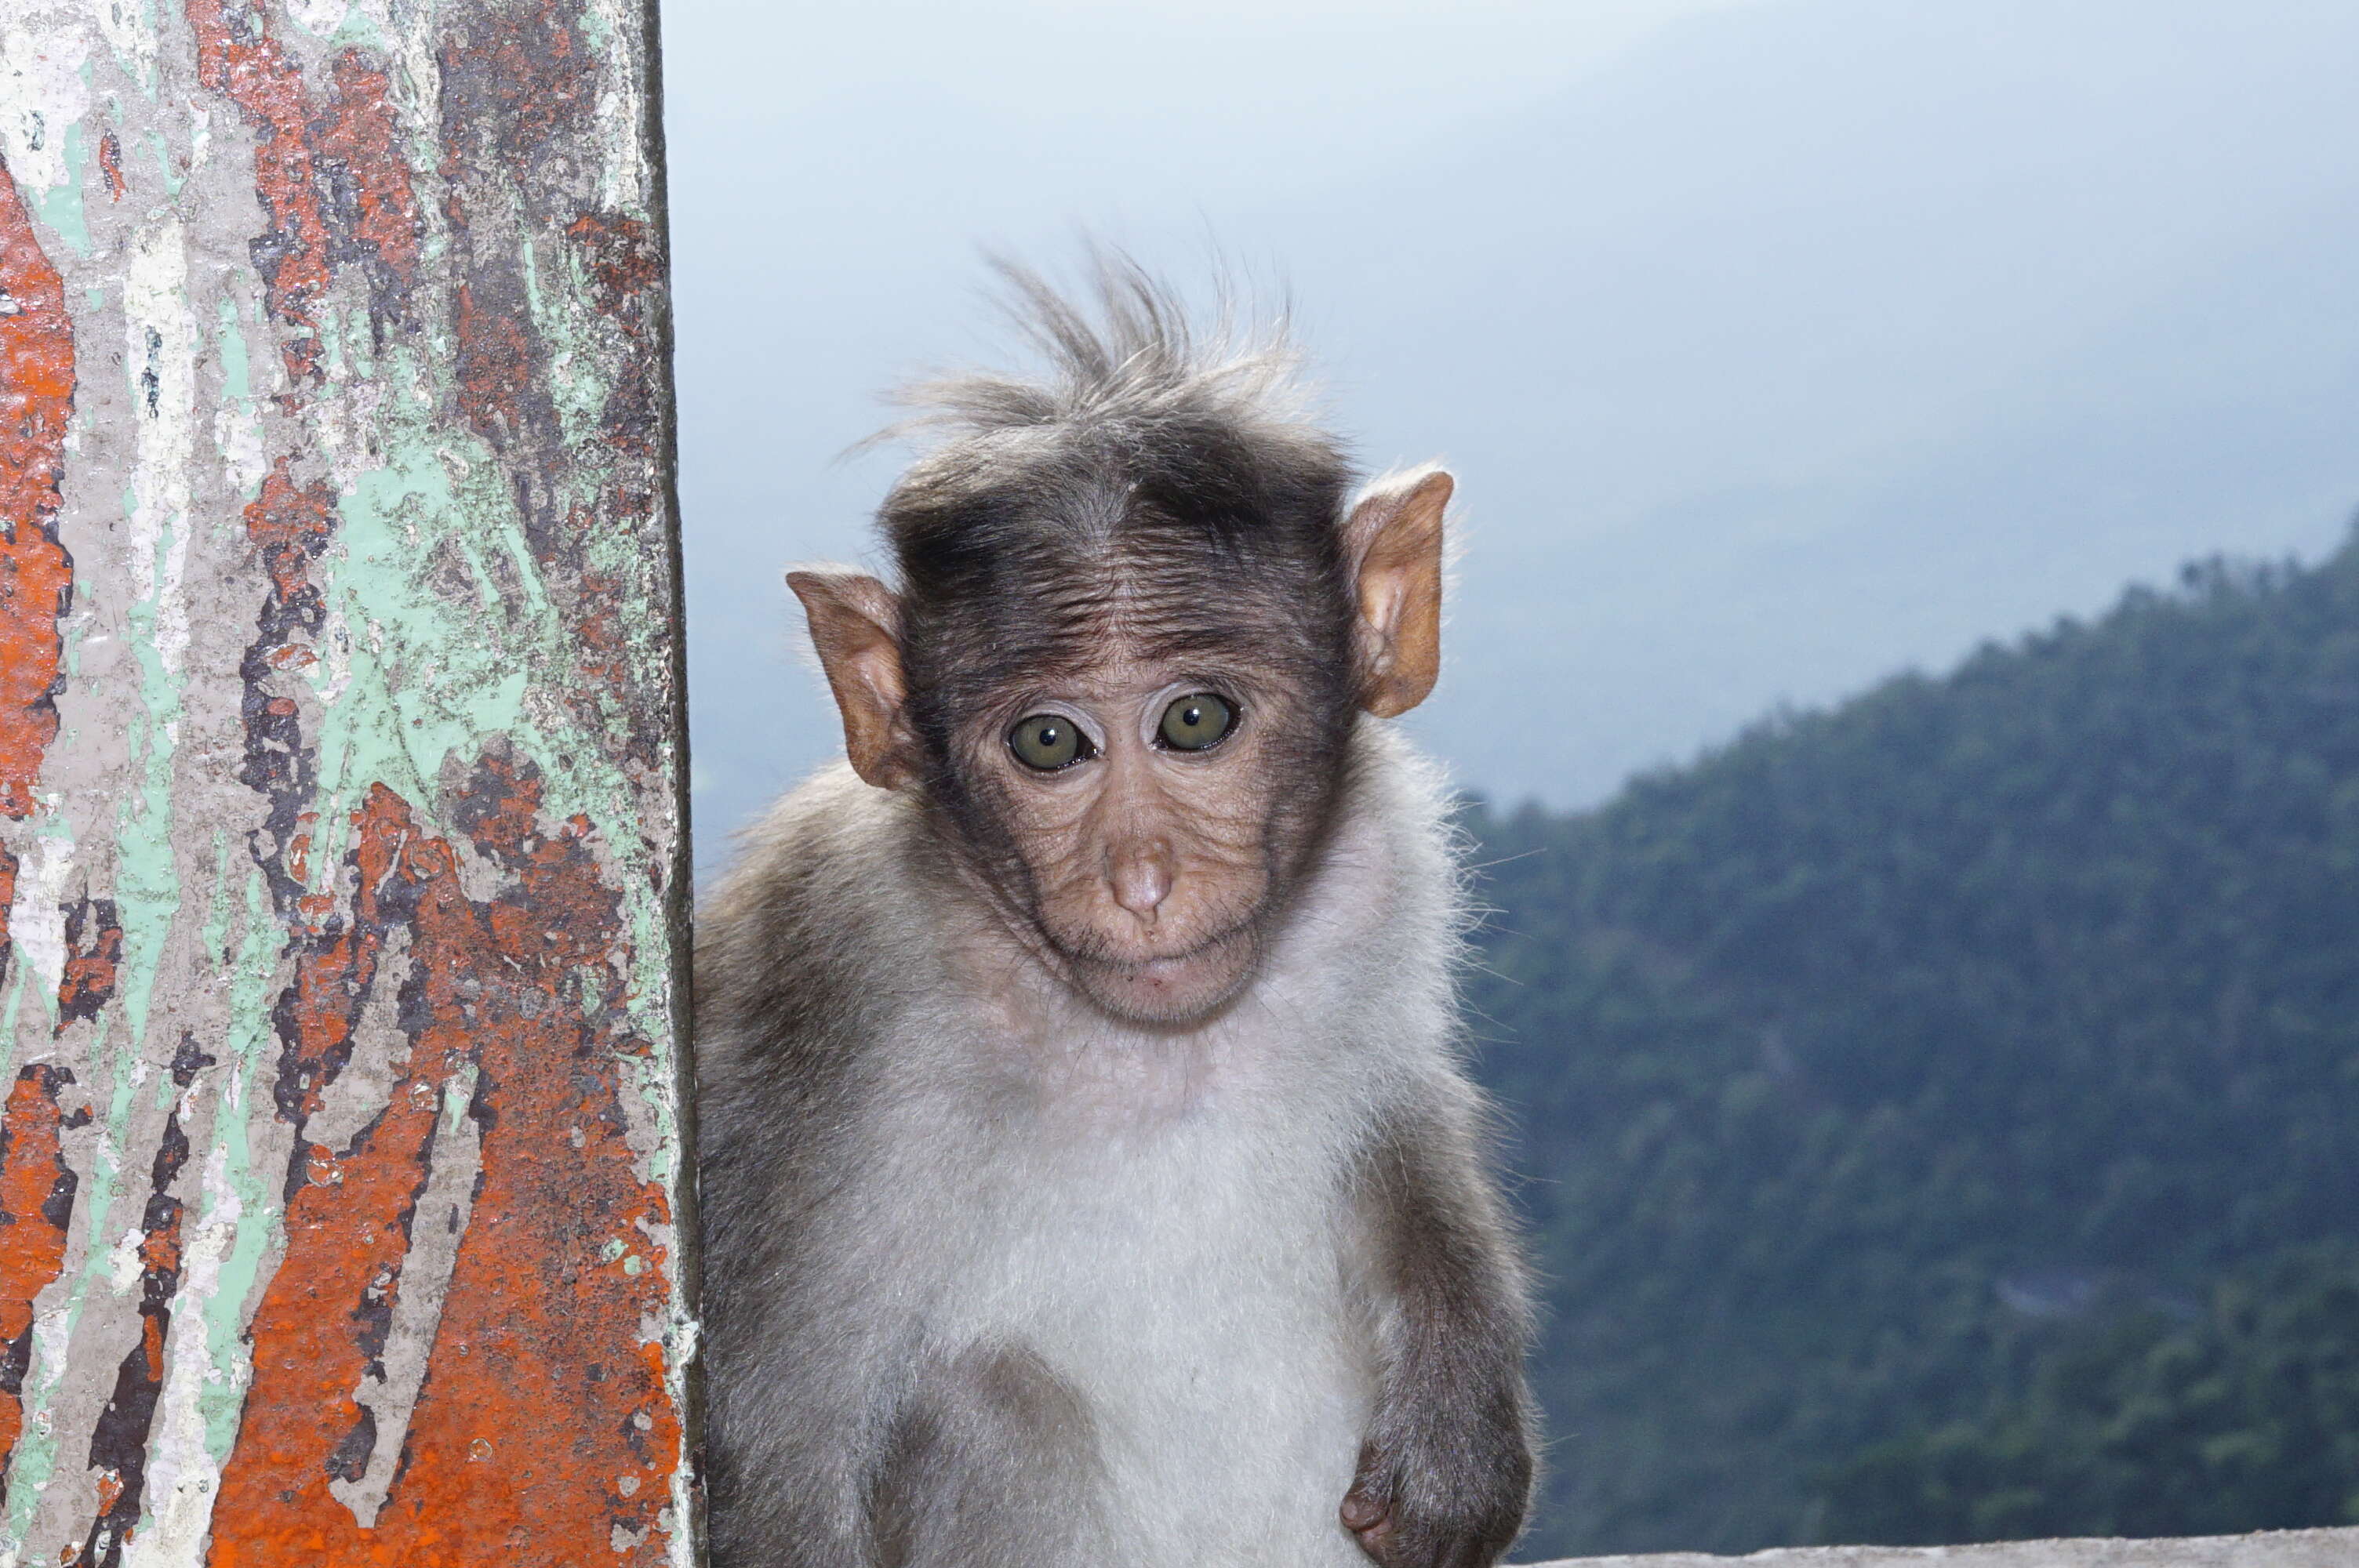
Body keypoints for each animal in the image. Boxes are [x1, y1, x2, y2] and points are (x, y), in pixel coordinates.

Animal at [689, 259, 1538, 1565]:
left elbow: (1403, 1111)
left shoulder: (1380, 872)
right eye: (1050, 743)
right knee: (988, 1409)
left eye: (1195, 720)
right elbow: (784, 1433)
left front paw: (1461, 1418)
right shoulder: (834, 980)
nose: (1141, 883)